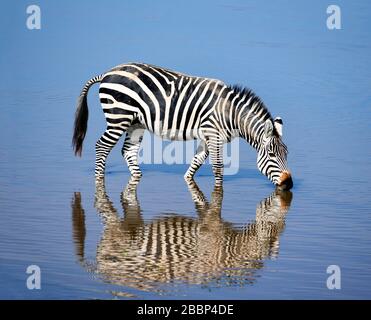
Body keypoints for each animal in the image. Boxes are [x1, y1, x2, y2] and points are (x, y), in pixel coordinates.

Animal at [72, 62, 294, 190]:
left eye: (287, 154)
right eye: (272, 155)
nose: (289, 184)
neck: (230, 113)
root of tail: (106, 74)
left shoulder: (207, 136)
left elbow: (197, 162)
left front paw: (188, 179)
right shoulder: (213, 134)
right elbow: (218, 166)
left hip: (135, 123)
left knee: (128, 151)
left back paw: (137, 176)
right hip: (118, 117)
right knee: (102, 146)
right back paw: (99, 179)